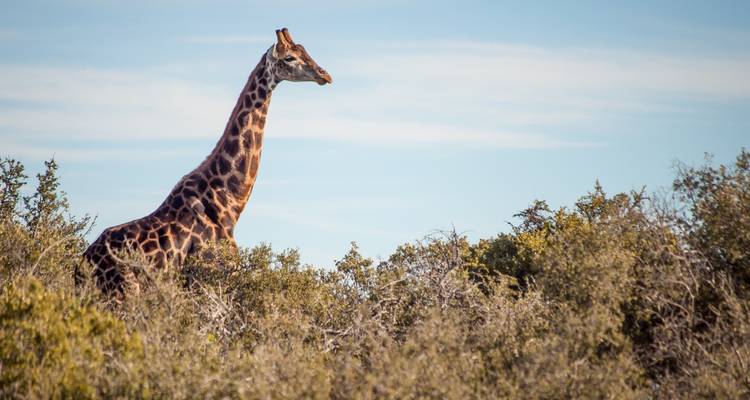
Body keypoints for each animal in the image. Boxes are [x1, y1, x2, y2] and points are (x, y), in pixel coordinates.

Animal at [81, 28, 331, 296]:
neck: (230, 202)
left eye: (305, 51)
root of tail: (81, 263)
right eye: (289, 58)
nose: (324, 75)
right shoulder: (208, 276)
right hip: (123, 291)